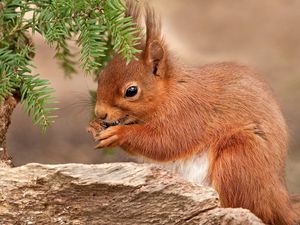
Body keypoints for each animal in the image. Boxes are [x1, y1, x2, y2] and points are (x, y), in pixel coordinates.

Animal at [86, 2, 298, 225]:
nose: (100, 113)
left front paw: (118, 134)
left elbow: (165, 142)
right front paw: (93, 126)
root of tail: (280, 199)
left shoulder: (189, 112)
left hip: (239, 157)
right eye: (101, 76)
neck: (170, 92)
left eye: (131, 91)